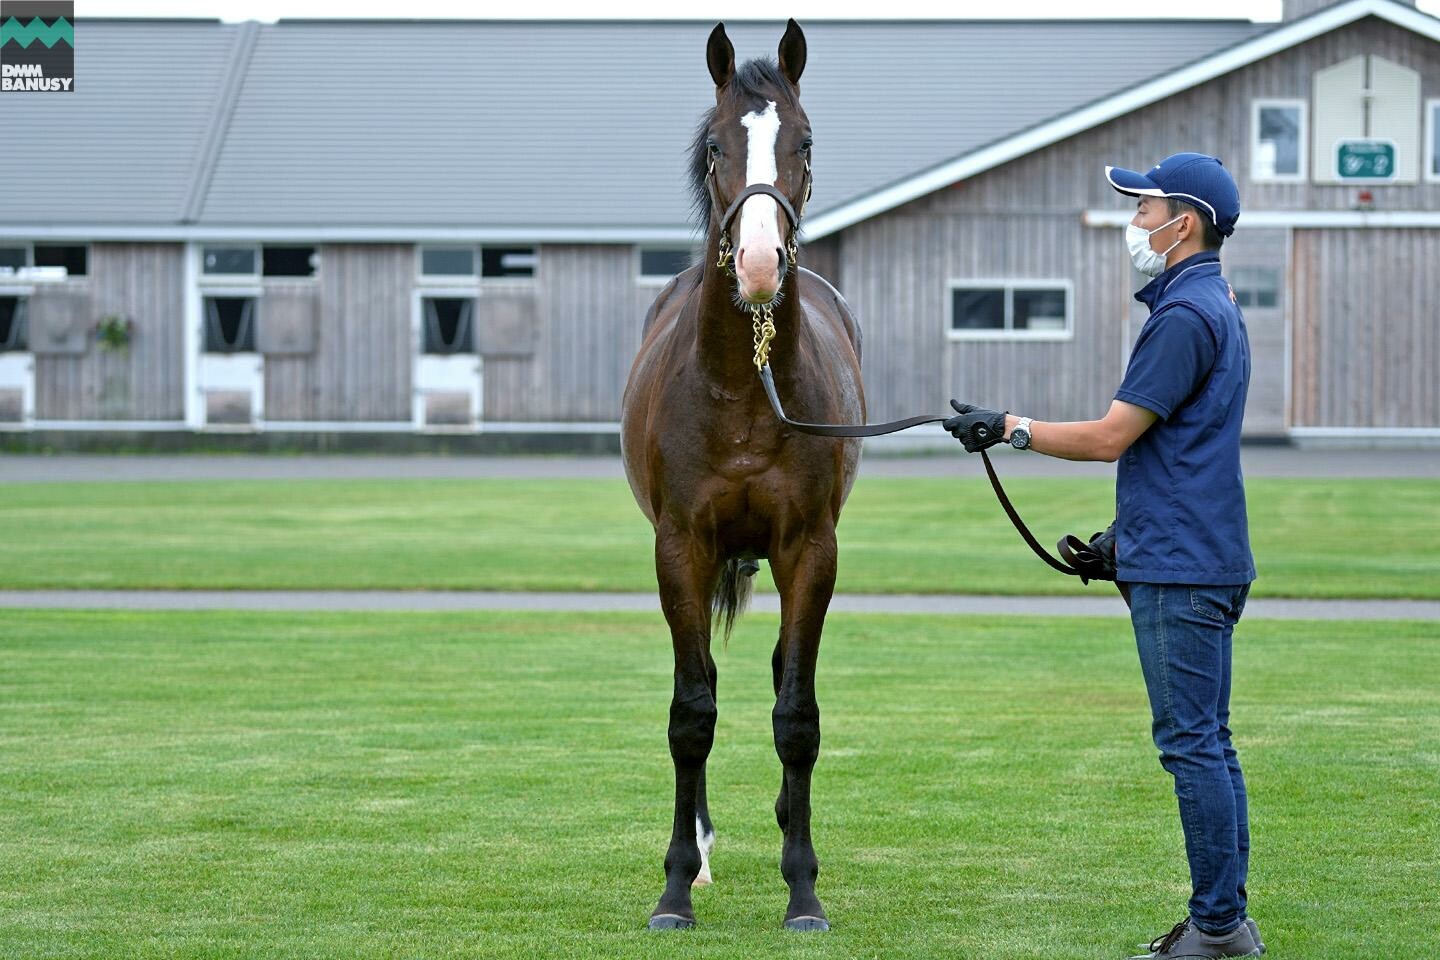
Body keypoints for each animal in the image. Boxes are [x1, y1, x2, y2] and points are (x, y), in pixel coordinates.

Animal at [616, 18, 858, 932]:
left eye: (805, 140)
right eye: (717, 144)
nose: (758, 263)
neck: (741, 389)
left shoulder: (811, 550)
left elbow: (798, 714)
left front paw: (803, 890)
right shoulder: (679, 549)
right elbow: (692, 713)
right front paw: (676, 887)